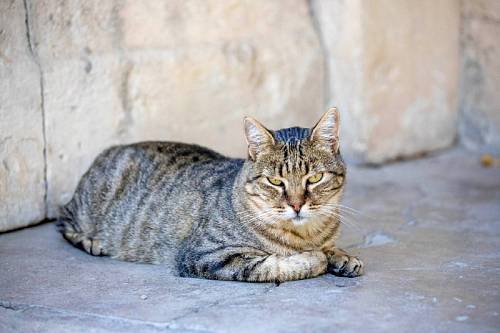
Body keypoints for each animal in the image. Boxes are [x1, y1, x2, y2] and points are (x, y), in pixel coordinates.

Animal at [57, 108, 364, 280]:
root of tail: (111, 149)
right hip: (88, 206)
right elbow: (272, 265)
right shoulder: (206, 256)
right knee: (63, 219)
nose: (297, 205)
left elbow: (330, 249)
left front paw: (341, 256)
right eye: (275, 181)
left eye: (314, 178)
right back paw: (91, 242)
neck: (306, 234)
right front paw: (316, 259)